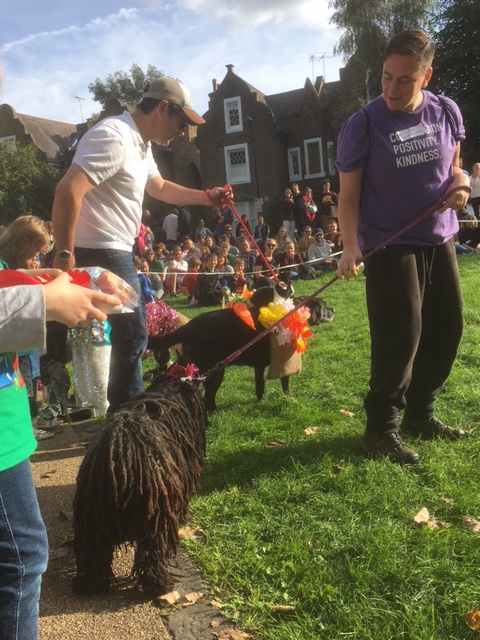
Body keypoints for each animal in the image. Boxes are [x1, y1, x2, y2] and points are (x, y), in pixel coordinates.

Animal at [72, 369, 207, 595]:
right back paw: (159, 585)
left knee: (96, 553)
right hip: (155, 519)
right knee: (152, 553)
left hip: (92, 521)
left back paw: (92, 584)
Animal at [148, 286, 334, 411]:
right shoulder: (283, 361)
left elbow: (260, 386)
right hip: (214, 371)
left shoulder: (259, 366)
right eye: (324, 306)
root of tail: (189, 326)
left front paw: (261, 401)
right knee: (208, 397)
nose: (333, 309)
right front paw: (290, 397)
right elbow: (285, 383)